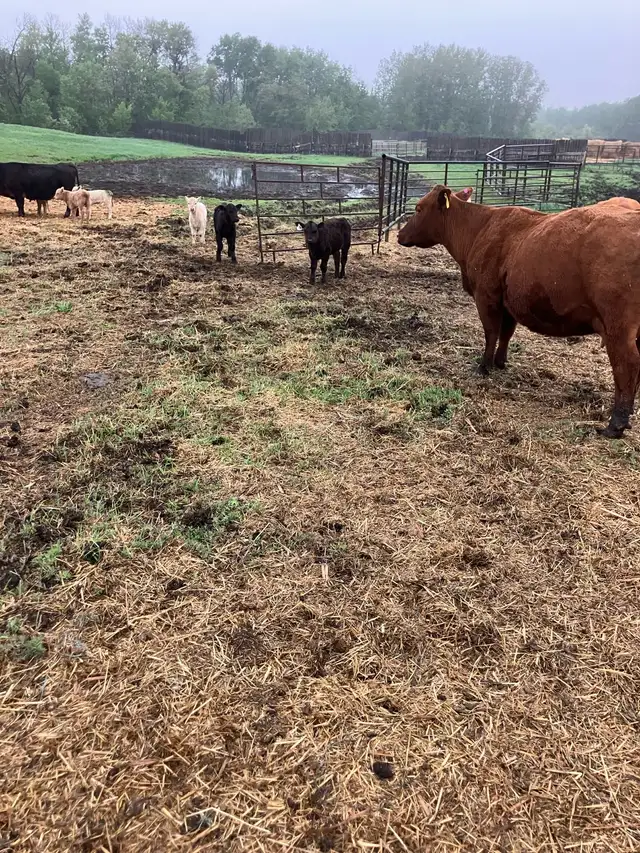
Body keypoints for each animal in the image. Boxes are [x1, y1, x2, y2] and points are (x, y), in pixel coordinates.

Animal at [397, 184, 640, 438]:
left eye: (418, 208)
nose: (399, 235)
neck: (479, 228)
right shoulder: (509, 301)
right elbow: (506, 333)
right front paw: (500, 361)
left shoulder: (486, 296)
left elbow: (491, 332)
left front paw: (484, 366)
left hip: (618, 327)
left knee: (627, 365)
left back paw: (616, 424)